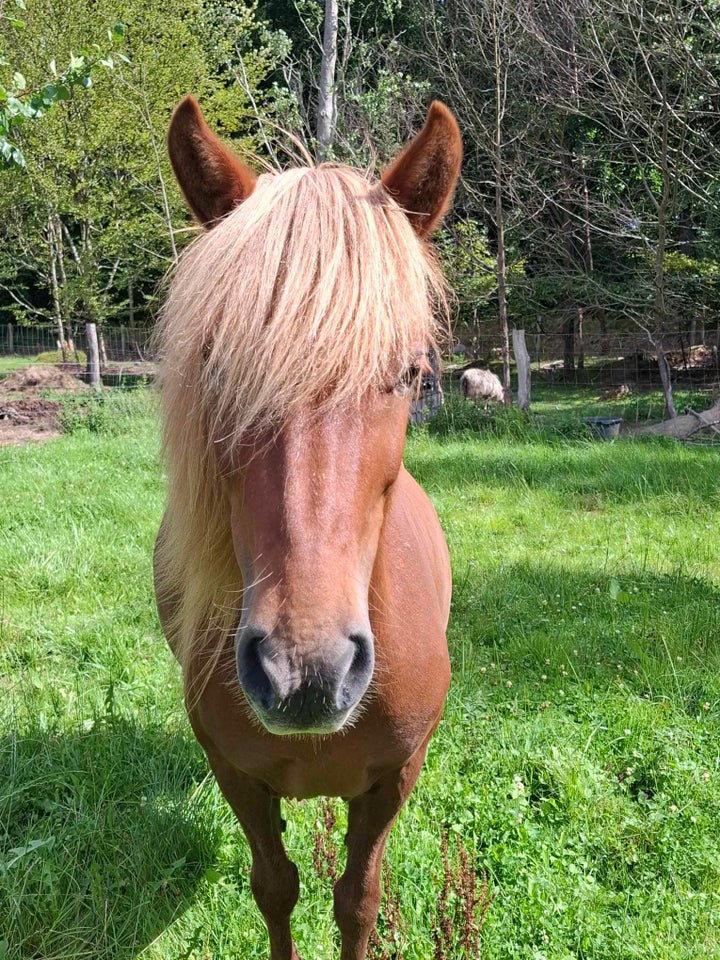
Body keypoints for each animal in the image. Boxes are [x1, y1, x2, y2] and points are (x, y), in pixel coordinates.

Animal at [153, 92, 462, 960]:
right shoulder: (236, 775)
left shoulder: (396, 777)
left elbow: (357, 900)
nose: (305, 671)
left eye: (412, 372)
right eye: (217, 366)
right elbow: (276, 889)